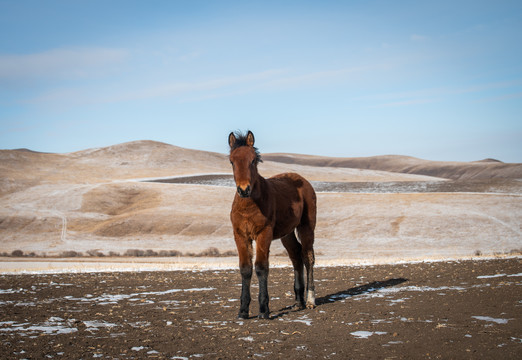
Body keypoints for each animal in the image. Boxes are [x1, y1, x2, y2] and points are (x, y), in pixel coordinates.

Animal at [225, 131, 314, 318]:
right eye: (232, 161)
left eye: (253, 160)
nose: (244, 189)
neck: (249, 205)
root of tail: (302, 180)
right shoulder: (240, 235)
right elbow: (245, 269)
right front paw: (243, 311)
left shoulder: (263, 233)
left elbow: (261, 267)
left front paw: (264, 310)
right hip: (287, 233)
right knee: (296, 256)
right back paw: (298, 302)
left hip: (306, 227)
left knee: (308, 257)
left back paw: (310, 301)